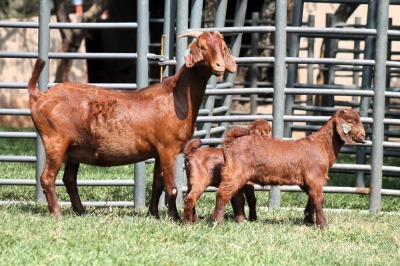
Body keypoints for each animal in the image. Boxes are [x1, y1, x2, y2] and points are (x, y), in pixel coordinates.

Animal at [28, 31, 236, 219]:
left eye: (223, 47)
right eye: (202, 47)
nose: (219, 66)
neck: (176, 95)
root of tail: (40, 97)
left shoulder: (158, 151)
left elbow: (157, 185)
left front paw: (154, 213)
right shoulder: (168, 148)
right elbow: (172, 187)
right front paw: (175, 218)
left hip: (75, 147)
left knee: (69, 179)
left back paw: (80, 211)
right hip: (55, 141)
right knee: (47, 178)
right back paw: (56, 213)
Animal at [212, 110, 366, 229]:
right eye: (350, 122)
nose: (363, 135)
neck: (322, 144)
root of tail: (230, 142)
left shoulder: (308, 181)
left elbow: (311, 199)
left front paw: (309, 222)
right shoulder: (315, 178)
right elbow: (318, 200)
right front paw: (322, 225)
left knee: (236, 196)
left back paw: (240, 221)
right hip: (235, 172)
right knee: (223, 194)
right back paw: (216, 222)